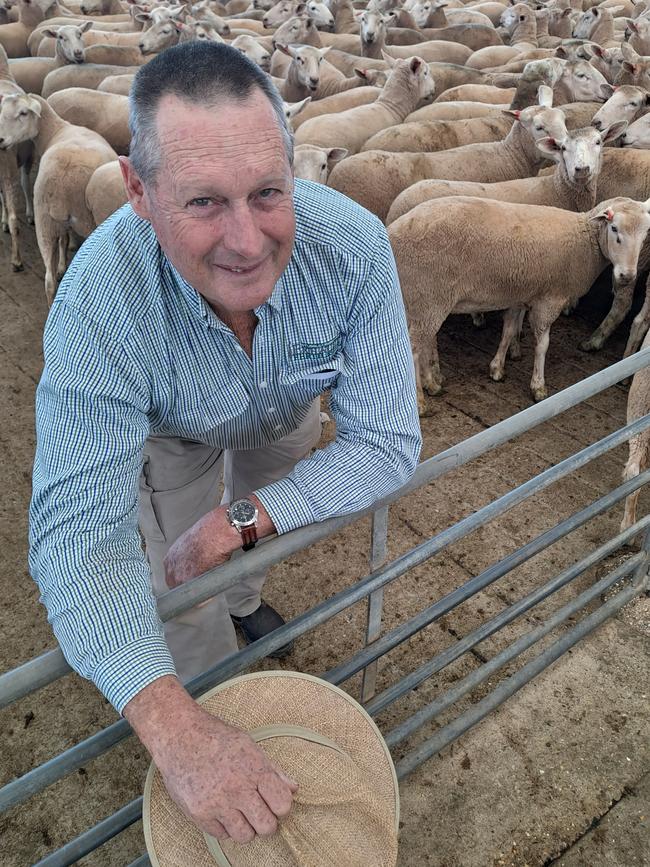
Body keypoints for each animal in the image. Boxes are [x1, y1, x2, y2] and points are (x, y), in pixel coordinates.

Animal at [0, 91, 117, 302]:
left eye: (23, 113)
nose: (0, 140)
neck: (56, 130)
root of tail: (63, 178)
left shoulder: (61, 223)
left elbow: (63, 241)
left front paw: (62, 267)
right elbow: (65, 241)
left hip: (44, 221)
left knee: (48, 281)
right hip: (87, 224)